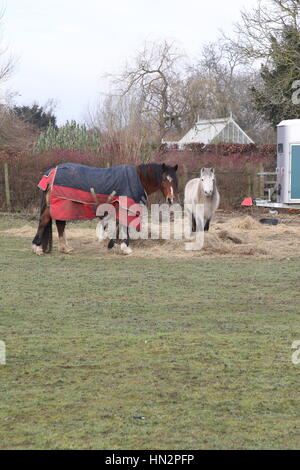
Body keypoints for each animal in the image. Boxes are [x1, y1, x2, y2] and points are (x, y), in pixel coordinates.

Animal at [32, 162, 178, 258]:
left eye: (174, 180)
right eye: (163, 179)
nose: (170, 199)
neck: (139, 178)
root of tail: (52, 171)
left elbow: (119, 225)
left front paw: (113, 244)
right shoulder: (126, 207)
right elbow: (124, 226)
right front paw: (124, 248)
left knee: (60, 224)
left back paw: (65, 248)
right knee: (45, 220)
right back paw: (37, 247)